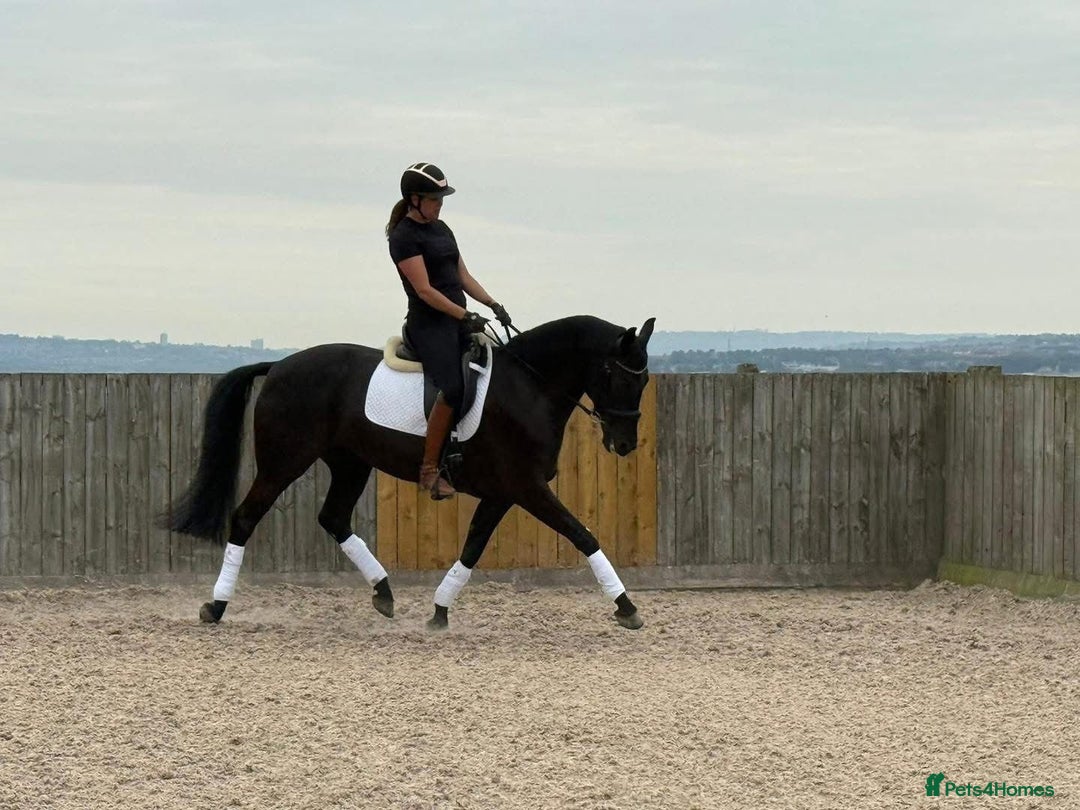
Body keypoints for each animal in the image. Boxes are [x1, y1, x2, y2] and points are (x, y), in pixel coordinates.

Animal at [163, 314, 655, 631]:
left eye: (644, 381)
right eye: (619, 377)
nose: (625, 444)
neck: (529, 387)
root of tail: (281, 364)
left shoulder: (503, 492)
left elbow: (473, 546)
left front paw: (439, 610)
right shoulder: (526, 487)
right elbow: (583, 535)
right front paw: (626, 607)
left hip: (351, 462)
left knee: (333, 518)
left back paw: (384, 593)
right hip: (284, 461)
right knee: (246, 517)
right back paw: (216, 606)